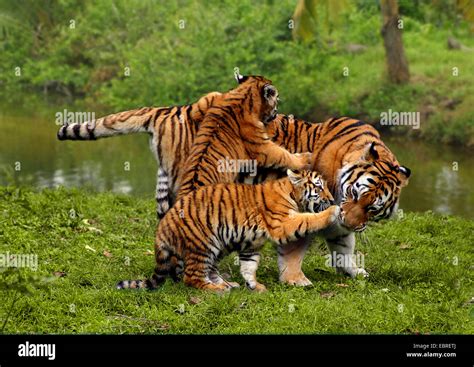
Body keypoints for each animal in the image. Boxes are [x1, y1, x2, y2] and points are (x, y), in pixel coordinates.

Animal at [117, 170, 340, 294]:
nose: (331, 199)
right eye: (319, 187)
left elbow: (249, 266)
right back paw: (216, 289)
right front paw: (333, 211)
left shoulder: (252, 244)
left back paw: (228, 284)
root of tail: (162, 227)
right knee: (192, 277)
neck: (291, 193)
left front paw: (255, 286)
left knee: (210, 271)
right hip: (203, 244)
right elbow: (308, 219)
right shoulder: (283, 223)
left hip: (217, 246)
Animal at [174, 74, 312, 201]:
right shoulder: (262, 147)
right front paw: (305, 158)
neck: (244, 95)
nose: (276, 113)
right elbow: (283, 155)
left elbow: (210, 97)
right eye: (276, 98)